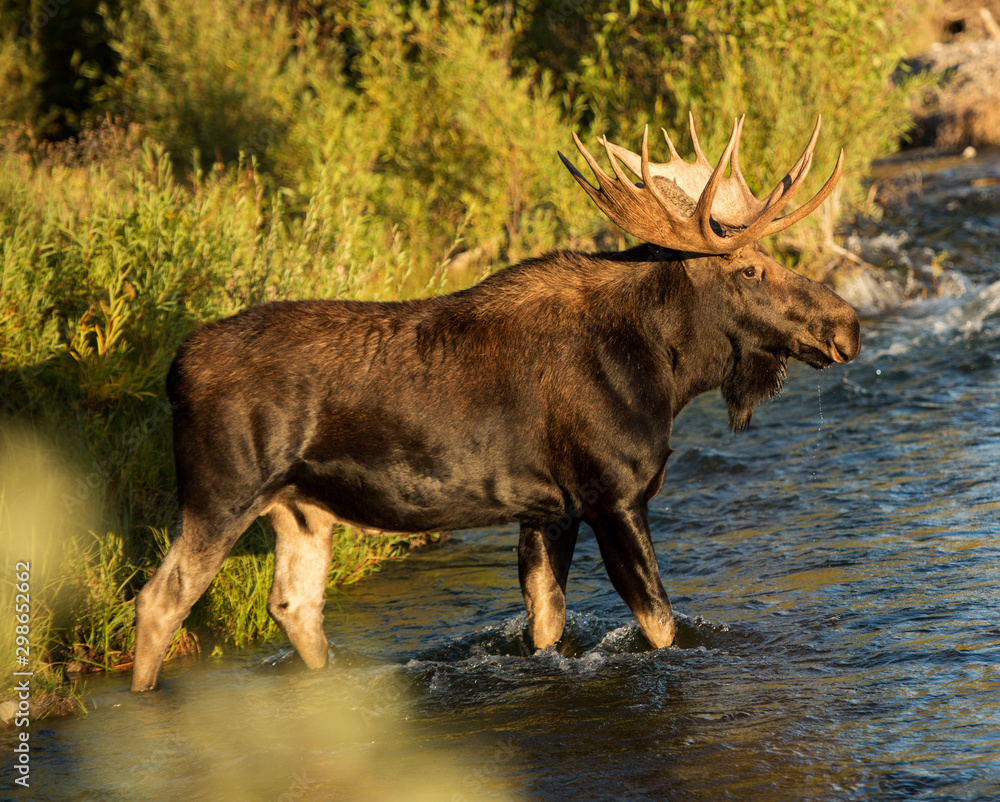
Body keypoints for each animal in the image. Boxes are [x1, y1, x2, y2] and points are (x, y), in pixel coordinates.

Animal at [131, 114, 860, 691]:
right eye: (750, 269)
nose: (847, 324)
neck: (665, 370)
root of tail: (174, 369)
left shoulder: (548, 509)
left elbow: (545, 625)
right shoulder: (614, 495)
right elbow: (660, 625)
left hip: (302, 508)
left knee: (293, 605)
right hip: (221, 494)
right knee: (159, 601)